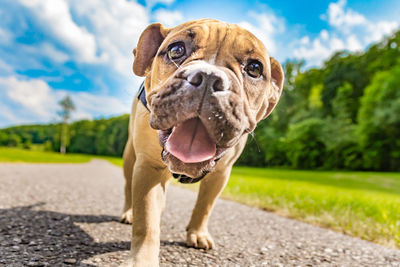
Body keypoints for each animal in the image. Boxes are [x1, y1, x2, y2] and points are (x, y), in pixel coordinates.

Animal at [120, 19, 282, 267]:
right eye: (176, 50)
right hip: (130, 158)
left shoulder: (220, 175)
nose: (208, 77)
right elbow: (146, 222)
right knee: (129, 188)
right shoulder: (148, 167)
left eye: (254, 68)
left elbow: (205, 206)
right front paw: (142, 259)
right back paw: (129, 212)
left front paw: (197, 233)